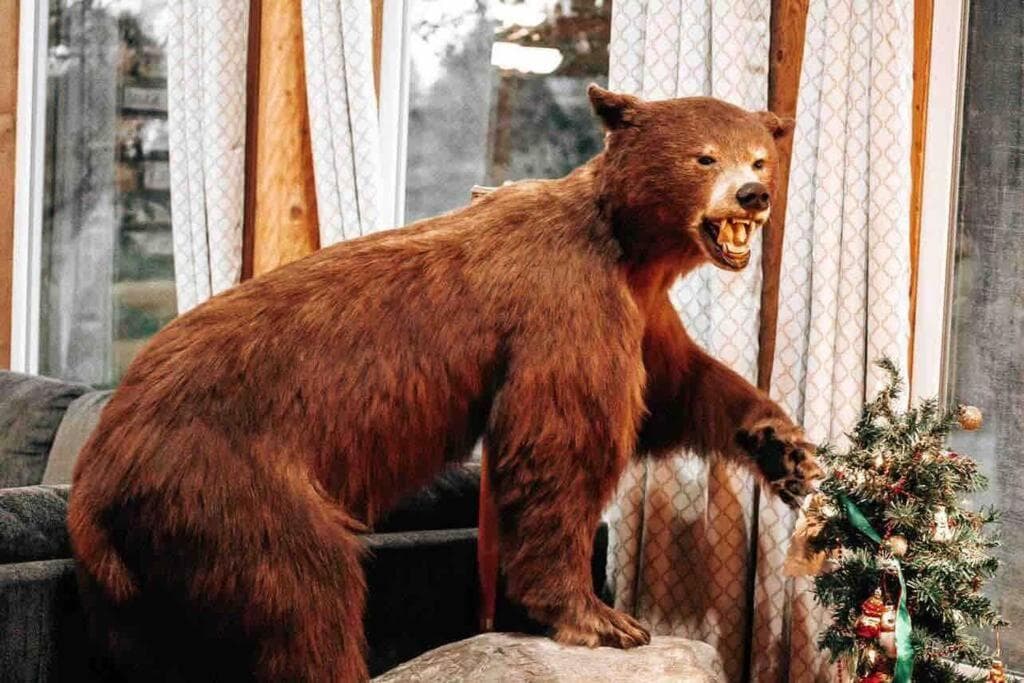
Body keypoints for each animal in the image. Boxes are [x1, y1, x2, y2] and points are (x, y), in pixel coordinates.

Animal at [68, 85, 822, 682]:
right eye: (704, 156)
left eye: (758, 154)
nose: (753, 194)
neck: (631, 249)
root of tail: (91, 481)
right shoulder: (566, 306)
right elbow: (560, 444)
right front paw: (601, 617)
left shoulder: (643, 315)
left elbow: (681, 385)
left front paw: (784, 447)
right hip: (230, 479)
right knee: (306, 590)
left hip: (143, 586)